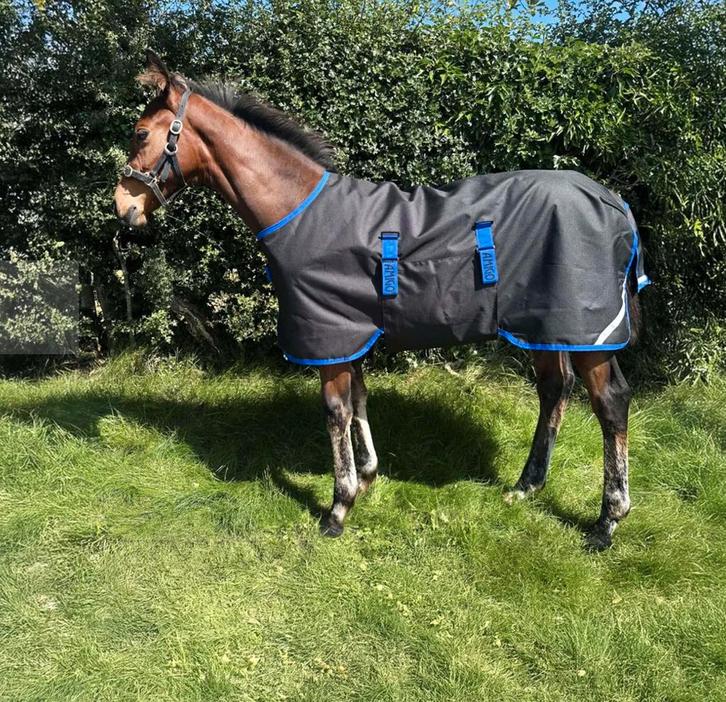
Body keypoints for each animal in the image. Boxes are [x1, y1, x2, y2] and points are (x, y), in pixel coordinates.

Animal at [114, 50, 650, 549]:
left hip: (587, 332)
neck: (301, 211)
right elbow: (359, 397)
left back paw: (607, 521)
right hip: (546, 327)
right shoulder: (348, 332)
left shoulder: (329, 336)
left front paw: (338, 507)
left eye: (140, 133)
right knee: (554, 391)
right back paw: (526, 486)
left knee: (610, 403)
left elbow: (336, 411)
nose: (123, 207)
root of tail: (613, 201)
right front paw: (368, 477)